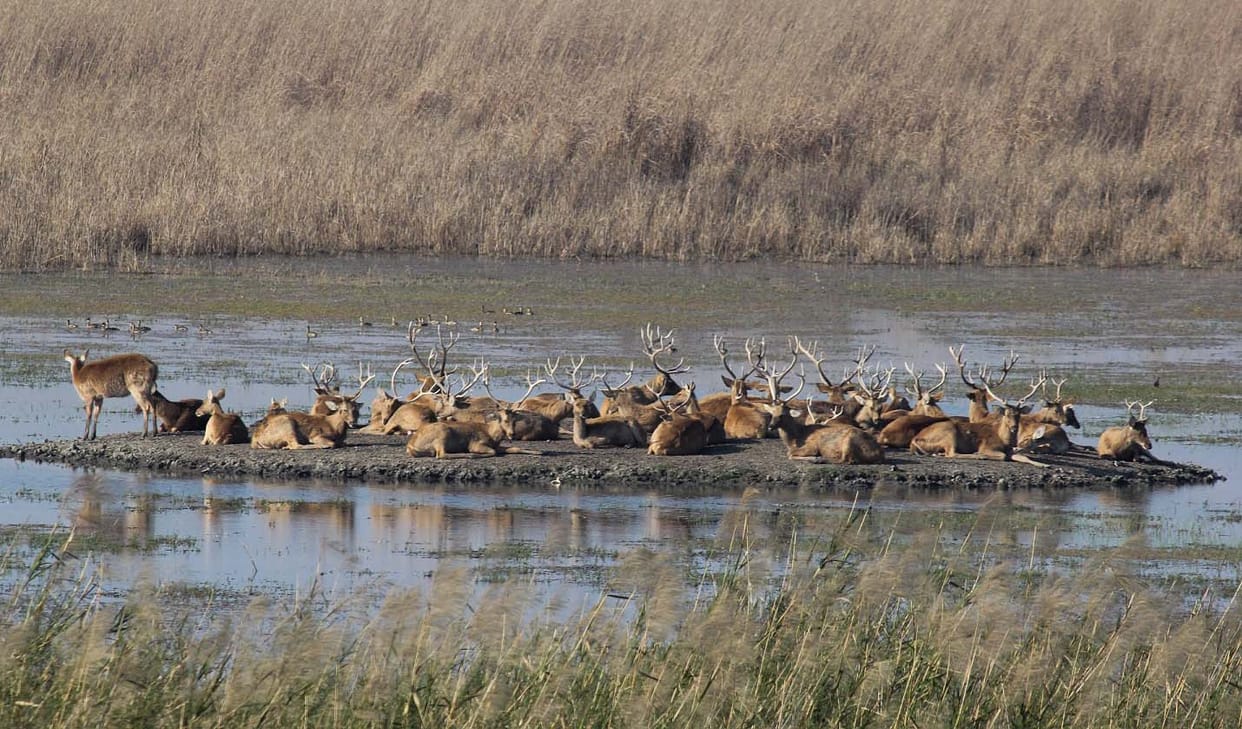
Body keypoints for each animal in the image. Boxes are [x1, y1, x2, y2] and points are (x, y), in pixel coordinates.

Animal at [909, 373, 1048, 467]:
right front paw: (980, 454)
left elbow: (1025, 457)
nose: (1014, 427)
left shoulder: (1011, 450)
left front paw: (1044, 465)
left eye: (1019, 414)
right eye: (1006, 414)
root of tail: (914, 440)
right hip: (949, 433)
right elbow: (1003, 456)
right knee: (951, 453)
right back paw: (979, 456)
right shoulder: (987, 446)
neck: (1004, 440)